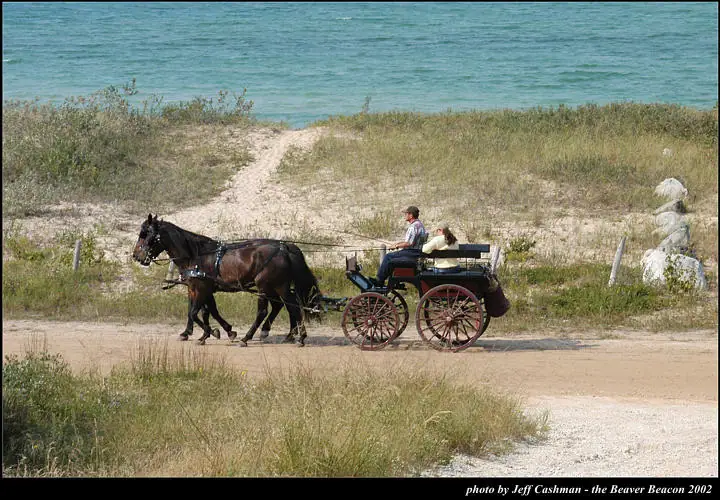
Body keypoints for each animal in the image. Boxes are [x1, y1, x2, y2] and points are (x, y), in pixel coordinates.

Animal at [132, 214, 322, 346]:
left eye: (145, 234)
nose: (136, 256)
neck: (196, 256)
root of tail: (285, 248)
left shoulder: (202, 288)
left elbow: (196, 312)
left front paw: (212, 332)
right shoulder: (198, 288)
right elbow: (204, 311)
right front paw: (204, 333)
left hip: (271, 286)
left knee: (277, 309)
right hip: (274, 286)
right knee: (282, 306)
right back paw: (285, 334)